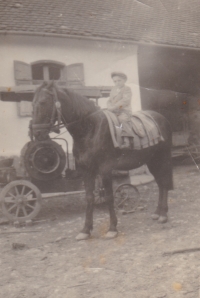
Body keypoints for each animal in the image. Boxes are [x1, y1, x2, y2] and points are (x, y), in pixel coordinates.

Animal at [31, 81, 173, 240]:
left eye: (43, 102)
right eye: (32, 103)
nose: (37, 133)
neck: (90, 129)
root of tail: (161, 118)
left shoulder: (105, 170)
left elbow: (109, 197)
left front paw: (112, 228)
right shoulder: (87, 171)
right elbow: (89, 197)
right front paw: (85, 230)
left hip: (163, 157)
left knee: (164, 183)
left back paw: (163, 215)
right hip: (152, 160)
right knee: (160, 183)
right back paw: (158, 213)